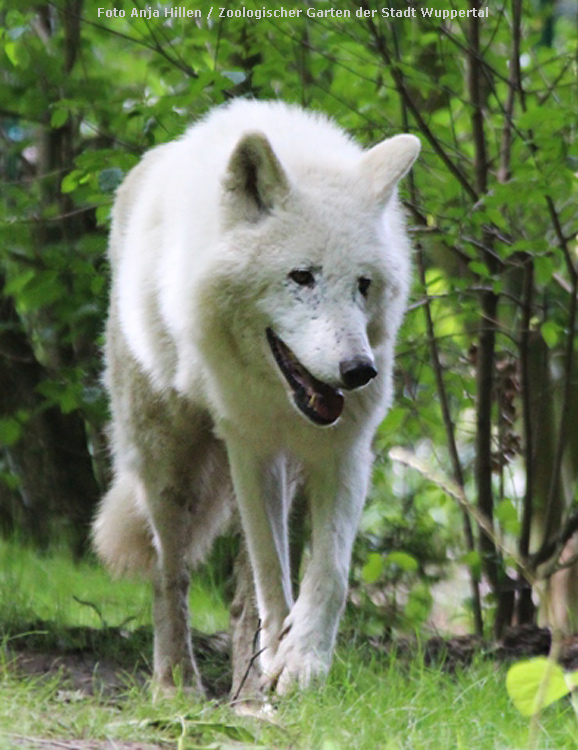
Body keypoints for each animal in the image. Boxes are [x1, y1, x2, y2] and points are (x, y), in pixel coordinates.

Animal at [94, 101, 418, 700]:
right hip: (166, 464)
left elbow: (328, 573)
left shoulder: (343, 449)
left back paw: (247, 694)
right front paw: (283, 661)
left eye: (363, 284)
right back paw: (176, 683)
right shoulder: (250, 444)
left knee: (242, 598)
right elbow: (271, 571)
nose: (359, 371)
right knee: (170, 575)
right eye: (302, 277)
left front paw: (301, 661)